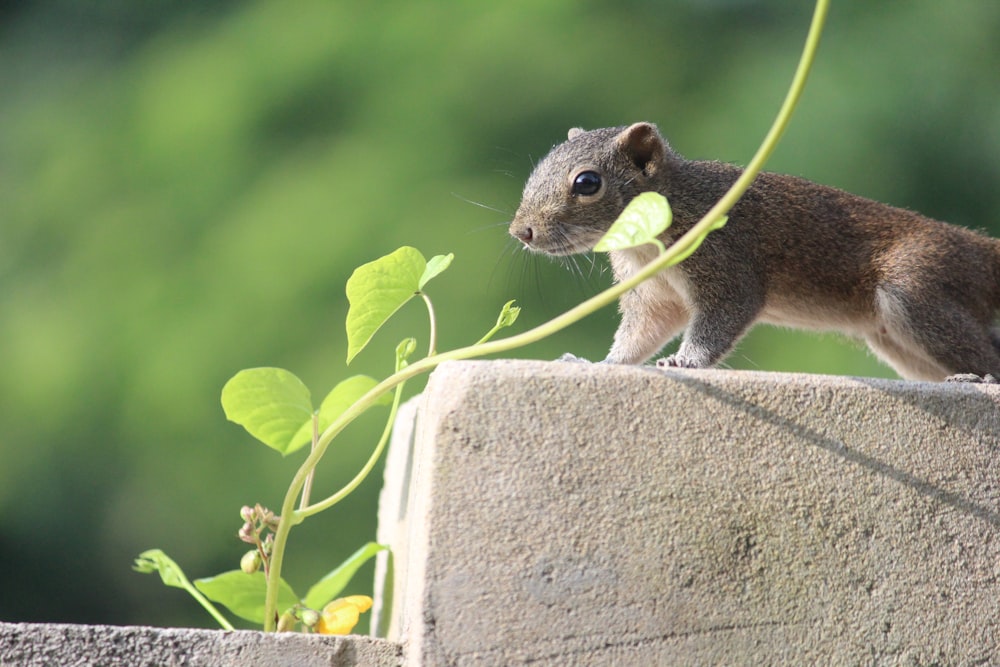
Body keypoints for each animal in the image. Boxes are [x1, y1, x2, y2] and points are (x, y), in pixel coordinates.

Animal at [512, 121, 1000, 380]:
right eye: (536, 169)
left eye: (587, 182)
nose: (521, 232)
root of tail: (980, 251)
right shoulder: (654, 297)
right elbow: (639, 335)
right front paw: (602, 361)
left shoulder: (725, 262)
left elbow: (722, 318)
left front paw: (685, 360)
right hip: (894, 339)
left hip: (916, 291)